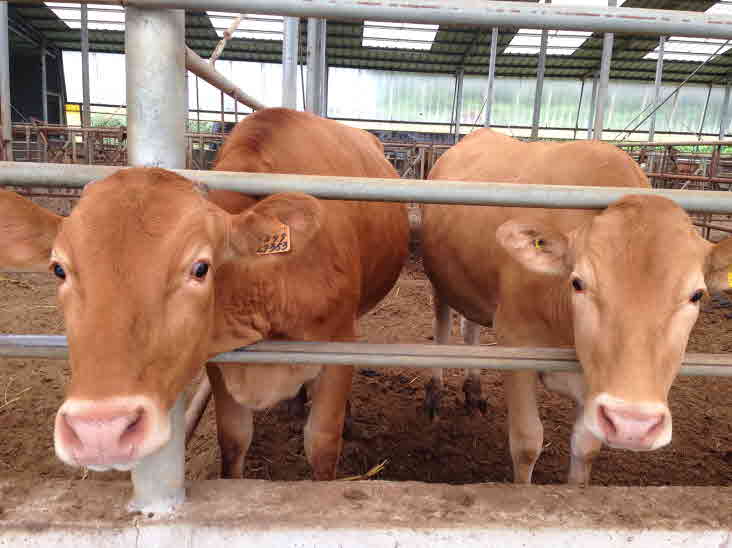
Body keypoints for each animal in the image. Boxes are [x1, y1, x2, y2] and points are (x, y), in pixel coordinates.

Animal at [0, 110, 408, 480]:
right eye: (59, 269)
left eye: (200, 268)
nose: (100, 432)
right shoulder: (220, 360)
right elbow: (234, 439)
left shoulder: (338, 345)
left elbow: (322, 444)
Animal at [420, 128, 732, 484]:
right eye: (578, 282)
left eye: (696, 295)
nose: (633, 424)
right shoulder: (516, 342)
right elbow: (527, 442)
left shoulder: (594, 385)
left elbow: (585, 449)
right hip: (440, 279)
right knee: (443, 326)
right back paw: (434, 394)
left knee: (469, 326)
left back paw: (474, 391)